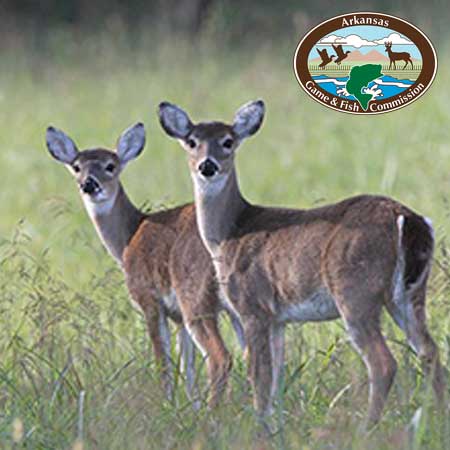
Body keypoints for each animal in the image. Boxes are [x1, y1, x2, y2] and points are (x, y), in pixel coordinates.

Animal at [44, 121, 246, 406]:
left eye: (111, 165)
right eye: (76, 166)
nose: (89, 184)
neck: (128, 239)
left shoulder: (149, 298)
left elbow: (163, 360)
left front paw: (169, 405)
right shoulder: (177, 316)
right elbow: (187, 363)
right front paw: (190, 405)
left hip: (195, 297)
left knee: (221, 356)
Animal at [157, 100, 442, 428]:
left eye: (228, 141)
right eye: (192, 141)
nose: (207, 165)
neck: (230, 233)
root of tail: (407, 218)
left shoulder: (253, 306)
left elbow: (259, 374)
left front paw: (260, 427)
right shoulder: (278, 318)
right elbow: (276, 376)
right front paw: (274, 424)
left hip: (356, 290)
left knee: (383, 363)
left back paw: (365, 428)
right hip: (409, 294)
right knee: (430, 351)